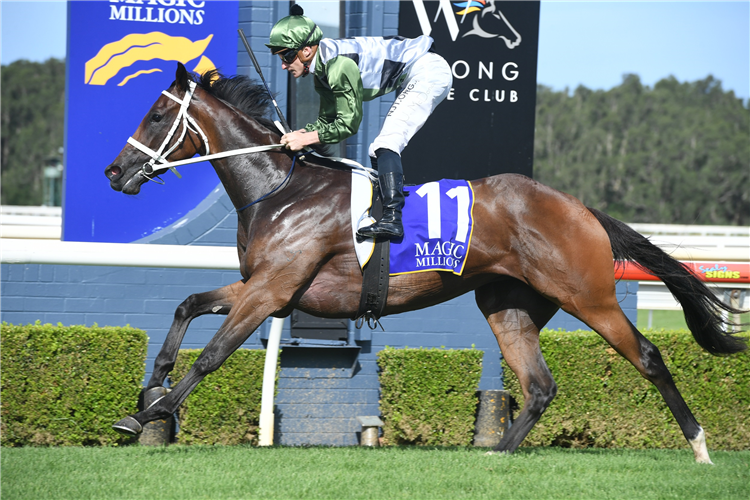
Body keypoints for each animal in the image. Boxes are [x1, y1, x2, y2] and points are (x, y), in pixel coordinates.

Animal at [106, 63, 748, 464]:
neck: (280, 189)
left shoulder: (272, 290)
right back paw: (493, 459)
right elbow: (186, 305)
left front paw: (153, 412)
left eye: (158, 116)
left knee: (648, 356)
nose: (114, 172)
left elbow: (212, 354)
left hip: (587, 295)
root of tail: (580, 207)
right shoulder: (262, 287)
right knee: (539, 386)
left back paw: (699, 446)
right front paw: (150, 390)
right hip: (508, 306)